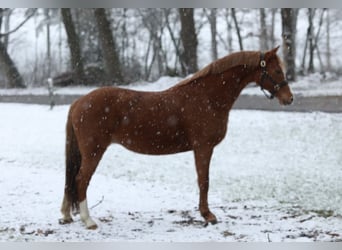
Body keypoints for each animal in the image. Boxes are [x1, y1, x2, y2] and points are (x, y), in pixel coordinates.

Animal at [60, 46, 292, 229]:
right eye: (277, 70)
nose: (289, 98)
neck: (207, 97)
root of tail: (79, 102)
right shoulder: (203, 147)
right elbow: (204, 181)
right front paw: (208, 216)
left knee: (71, 179)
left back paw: (66, 215)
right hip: (94, 151)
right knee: (80, 179)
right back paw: (88, 220)